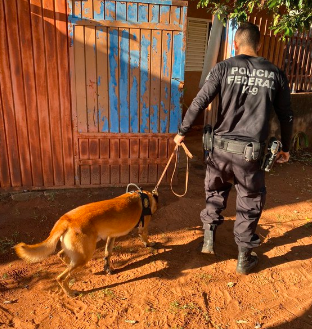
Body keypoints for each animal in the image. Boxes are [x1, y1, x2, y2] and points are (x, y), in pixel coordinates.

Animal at [14, 188, 158, 296]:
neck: (144, 196)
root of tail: (66, 219)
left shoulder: (111, 237)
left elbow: (108, 253)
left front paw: (108, 268)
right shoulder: (143, 229)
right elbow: (145, 237)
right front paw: (150, 244)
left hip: (78, 251)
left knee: (62, 255)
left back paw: (70, 268)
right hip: (85, 254)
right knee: (61, 277)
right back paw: (70, 293)